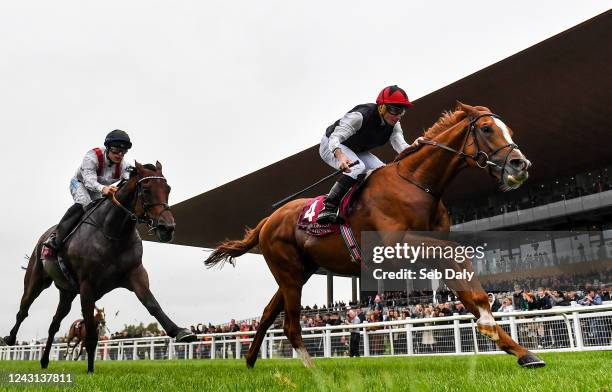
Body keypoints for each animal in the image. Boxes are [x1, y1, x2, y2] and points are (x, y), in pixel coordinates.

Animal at [206, 102, 544, 370]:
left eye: (508, 129)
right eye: (487, 129)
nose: (521, 164)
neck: (417, 184)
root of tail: (268, 220)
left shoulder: (429, 250)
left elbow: (466, 287)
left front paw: (520, 350)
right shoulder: (399, 247)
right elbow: (459, 258)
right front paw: (490, 323)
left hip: (298, 273)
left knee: (267, 315)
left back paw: (251, 362)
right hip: (289, 273)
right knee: (290, 325)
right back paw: (313, 370)